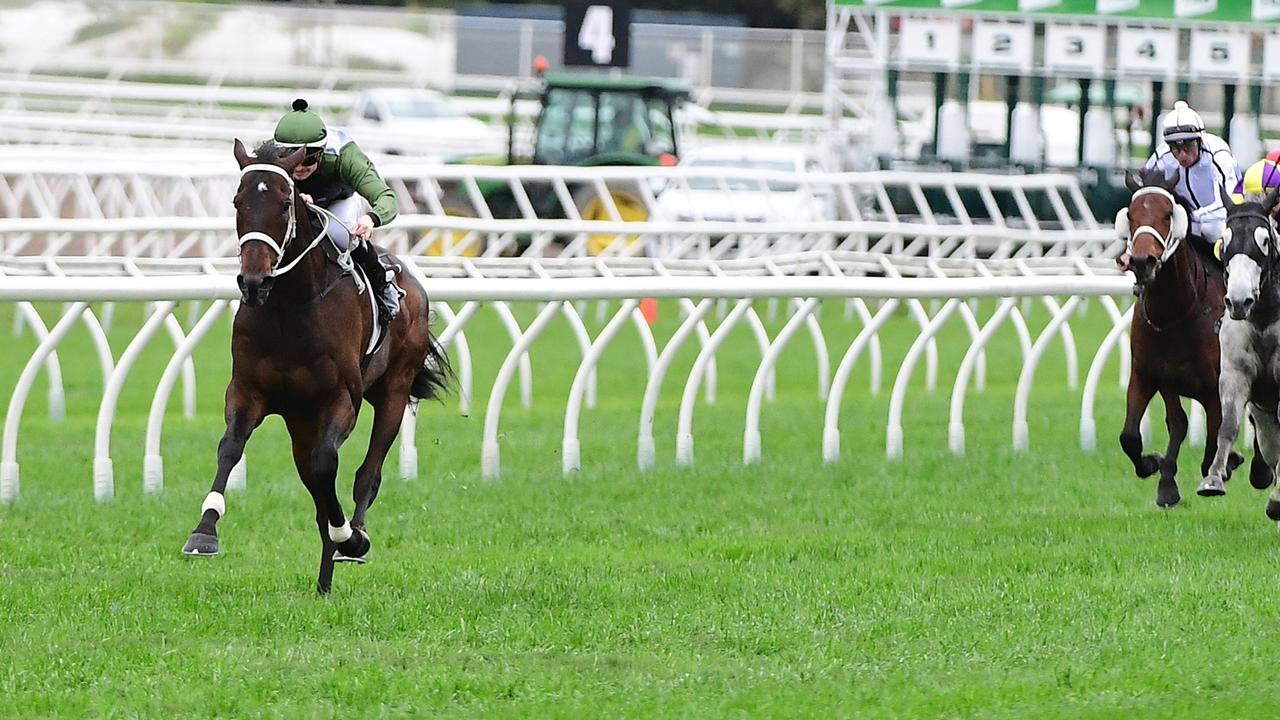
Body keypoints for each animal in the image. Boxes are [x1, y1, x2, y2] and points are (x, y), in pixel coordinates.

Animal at [180, 139, 450, 589]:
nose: (254, 282)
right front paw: (204, 532)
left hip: (393, 392)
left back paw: (351, 540)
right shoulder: (248, 391)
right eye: (237, 201)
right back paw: (324, 580)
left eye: (285, 203)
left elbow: (328, 465)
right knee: (316, 486)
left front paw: (350, 538)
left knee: (366, 474)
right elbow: (231, 447)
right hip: (300, 421)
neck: (290, 307)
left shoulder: (340, 400)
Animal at [1116, 167, 1264, 504]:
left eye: (1168, 214)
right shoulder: (1152, 375)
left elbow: (1213, 441)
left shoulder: (1215, 388)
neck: (1175, 314)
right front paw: (1159, 472)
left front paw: (1228, 464)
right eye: (1130, 214)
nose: (1142, 261)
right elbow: (1137, 434)